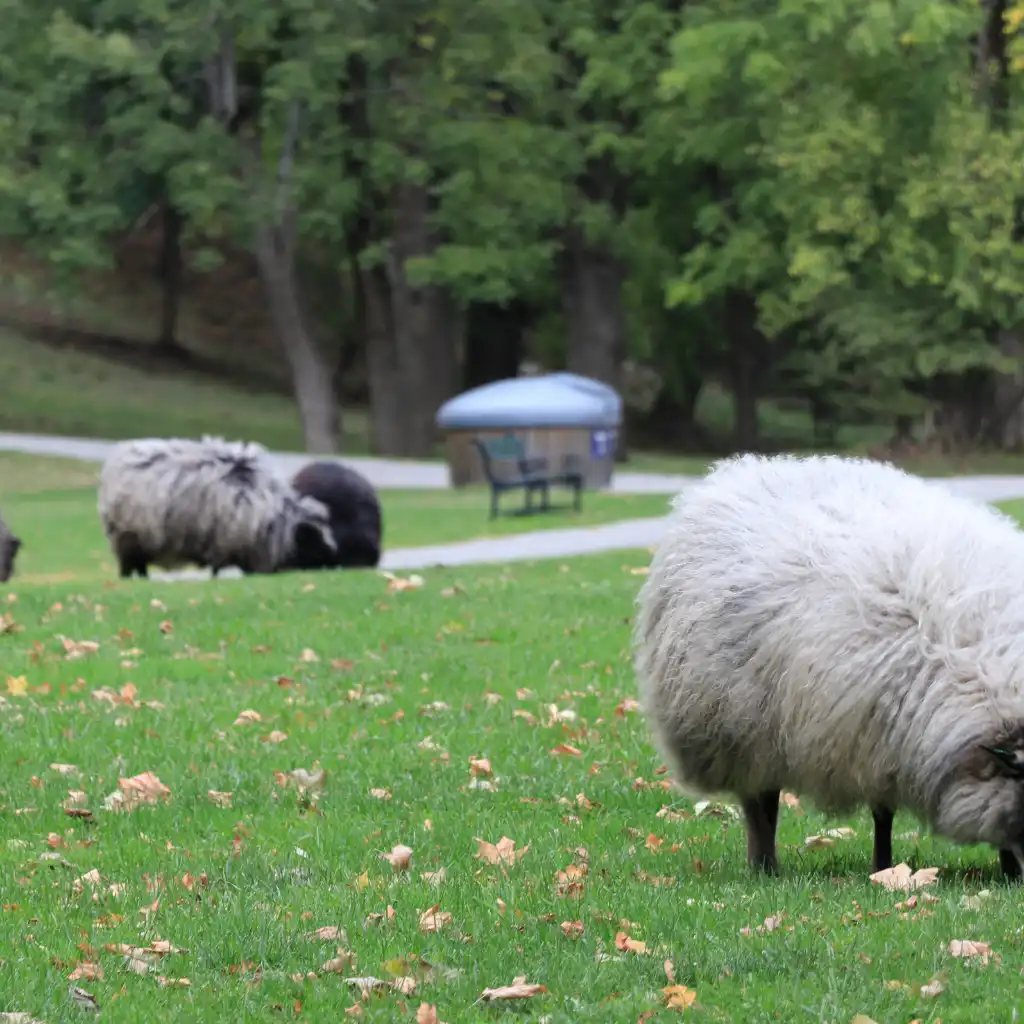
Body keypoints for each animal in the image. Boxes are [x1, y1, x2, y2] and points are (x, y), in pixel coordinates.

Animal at [97, 436, 337, 578]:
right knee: (130, 565)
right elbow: (218, 566)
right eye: (315, 546)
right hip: (129, 535)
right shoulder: (224, 541)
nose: (332, 569)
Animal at [633, 452, 1024, 879]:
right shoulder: (873, 737)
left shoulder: (884, 742)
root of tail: (741, 472)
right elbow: (882, 814)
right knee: (759, 802)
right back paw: (764, 866)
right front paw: (882, 868)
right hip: (741, 727)